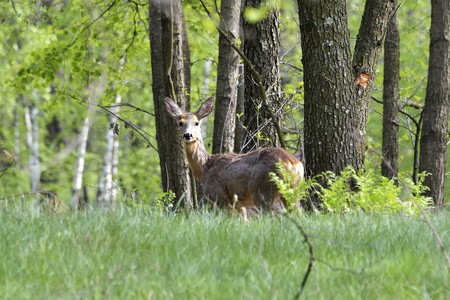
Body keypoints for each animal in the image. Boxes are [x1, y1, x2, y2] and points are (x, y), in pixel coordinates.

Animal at [163, 97, 304, 217]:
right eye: (180, 123)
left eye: (196, 123)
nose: (188, 135)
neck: (204, 167)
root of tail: (293, 163)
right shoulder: (238, 204)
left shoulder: (220, 196)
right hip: (293, 190)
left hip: (262, 190)